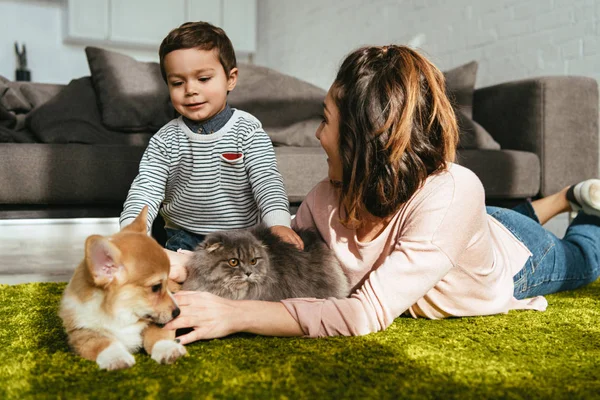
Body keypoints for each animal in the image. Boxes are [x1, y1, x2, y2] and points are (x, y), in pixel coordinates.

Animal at [59, 208, 186, 370]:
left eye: (167, 281)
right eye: (156, 287)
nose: (178, 312)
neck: (121, 313)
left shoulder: (155, 323)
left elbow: (157, 335)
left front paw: (168, 349)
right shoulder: (82, 333)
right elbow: (103, 343)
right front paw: (116, 358)